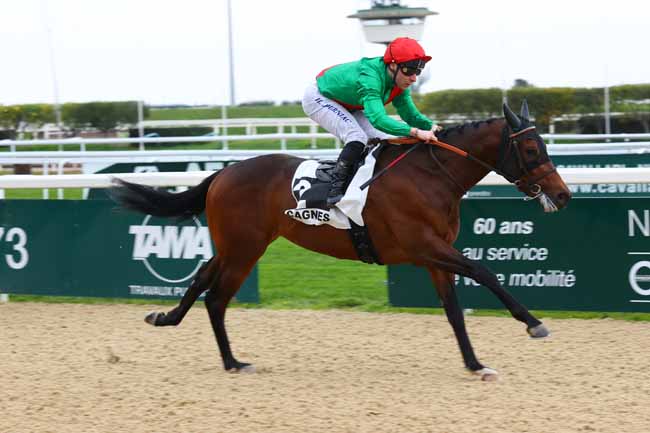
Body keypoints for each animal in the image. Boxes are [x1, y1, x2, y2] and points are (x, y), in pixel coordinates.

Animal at [109, 101, 568, 378]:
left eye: (545, 145)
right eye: (531, 149)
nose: (562, 194)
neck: (430, 176)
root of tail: (222, 173)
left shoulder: (434, 256)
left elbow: (454, 311)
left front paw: (474, 364)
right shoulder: (425, 247)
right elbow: (483, 271)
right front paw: (533, 323)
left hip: (235, 247)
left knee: (203, 277)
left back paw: (166, 318)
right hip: (244, 249)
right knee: (216, 298)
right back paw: (232, 362)